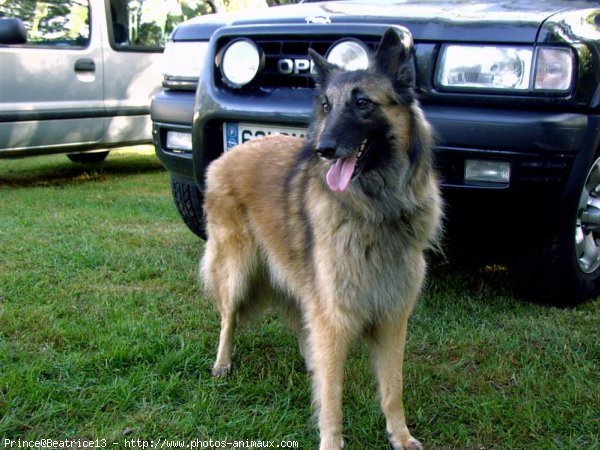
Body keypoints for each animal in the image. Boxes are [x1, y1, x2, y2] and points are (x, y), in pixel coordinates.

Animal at [200, 28, 440, 450]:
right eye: (326, 105)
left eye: (362, 103)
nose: (322, 149)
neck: (375, 211)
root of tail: (226, 157)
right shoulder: (335, 316)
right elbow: (332, 399)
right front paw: (332, 441)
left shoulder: (392, 318)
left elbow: (392, 389)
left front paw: (400, 435)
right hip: (237, 270)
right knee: (228, 319)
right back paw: (222, 363)